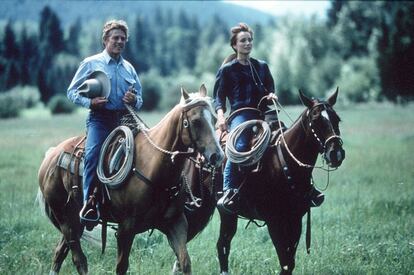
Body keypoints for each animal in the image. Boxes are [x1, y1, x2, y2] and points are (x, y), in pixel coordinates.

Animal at [37, 85, 225, 274]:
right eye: (196, 121)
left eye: (214, 119)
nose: (217, 156)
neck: (154, 167)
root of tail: (51, 155)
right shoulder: (125, 229)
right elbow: (121, 266)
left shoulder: (176, 223)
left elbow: (185, 262)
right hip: (65, 219)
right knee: (78, 259)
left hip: (75, 221)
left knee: (59, 252)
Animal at [178, 89, 342, 274]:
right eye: (316, 120)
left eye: (336, 119)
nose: (336, 153)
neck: (284, 161)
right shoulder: (274, 221)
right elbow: (285, 262)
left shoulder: (295, 219)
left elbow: (289, 263)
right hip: (195, 205)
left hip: (227, 213)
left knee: (222, 245)